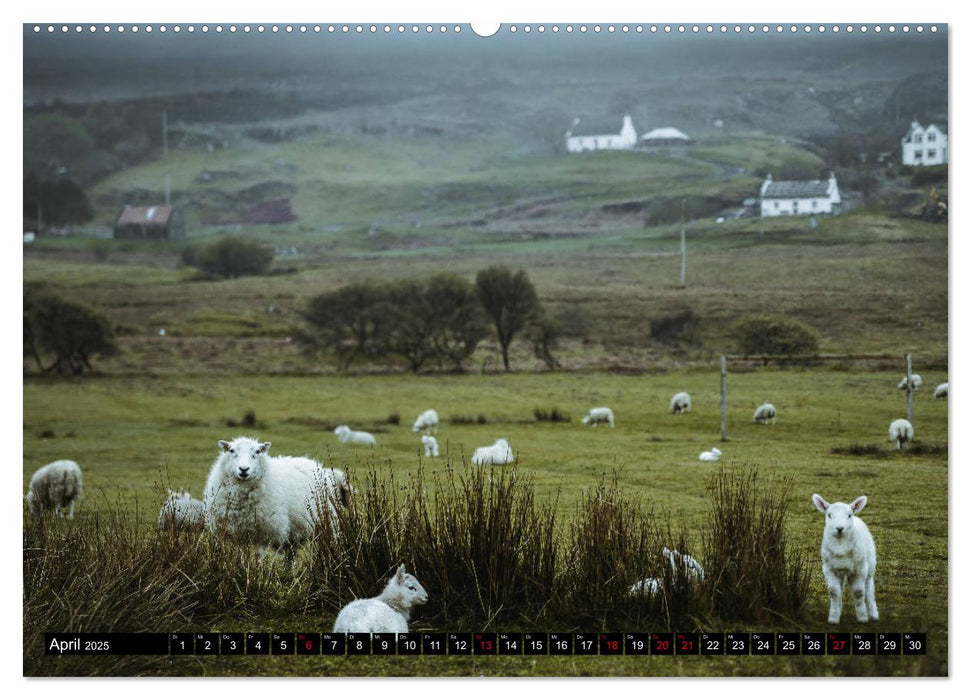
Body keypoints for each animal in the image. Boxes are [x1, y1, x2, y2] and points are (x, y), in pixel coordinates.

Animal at [203, 434, 352, 568]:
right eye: (232, 451)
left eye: (257, 452)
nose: (244, 469)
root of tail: (320, 467)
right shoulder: (233, 534)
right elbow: (237, 555)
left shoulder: (263, 531)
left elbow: (258, 556)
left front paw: (257, 573)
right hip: (293, 533)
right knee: (290, 556)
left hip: (328, 523)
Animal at [812, 492, 880, 624]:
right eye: (829, 515)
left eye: (849, 515)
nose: (839, 528)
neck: (840, 546)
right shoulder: (829, 569)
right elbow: (834, 592)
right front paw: (833, 618)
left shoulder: (860, 569)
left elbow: (859, 593)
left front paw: (862, 617)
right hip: (840, 571)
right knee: (840, 590)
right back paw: (839, 609)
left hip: (870, 564)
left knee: (869, 588)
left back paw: (874, 614)